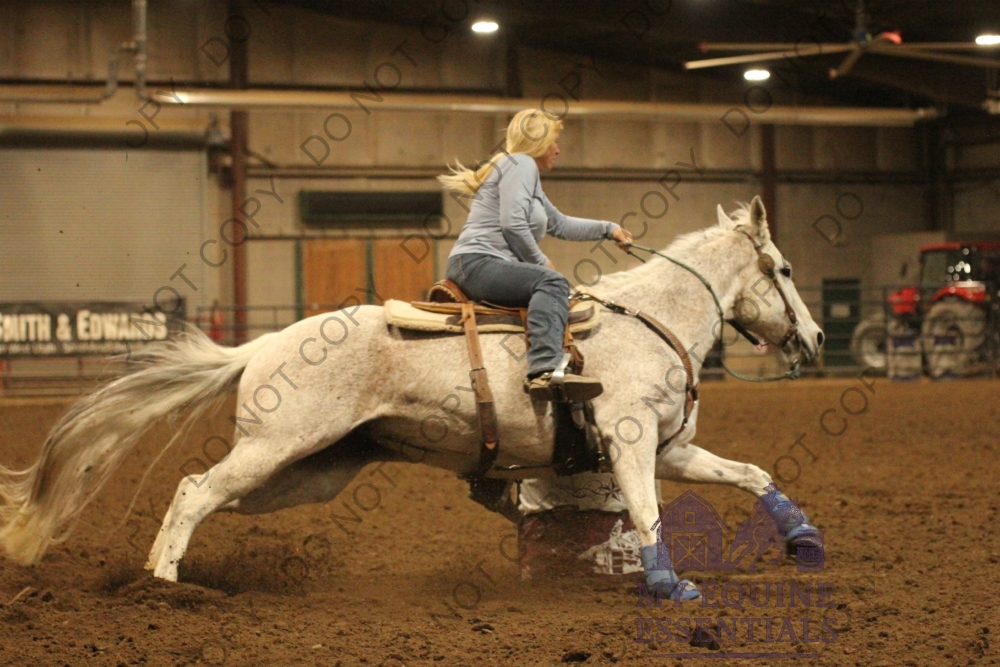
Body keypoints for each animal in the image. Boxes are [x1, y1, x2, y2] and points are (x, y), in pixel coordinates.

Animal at [0, 196, 825, 600]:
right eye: (784, 268)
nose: (815, 337)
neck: (654, 317)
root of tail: (259, 346)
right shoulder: (630, 440)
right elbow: (649, 511)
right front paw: (670, 585)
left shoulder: (670, 446)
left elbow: (751, 473)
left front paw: (804, 539)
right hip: (276, 446)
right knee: (196, 490)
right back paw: (165, 590)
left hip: (307, 471)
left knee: (199, 493)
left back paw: (154, 575)